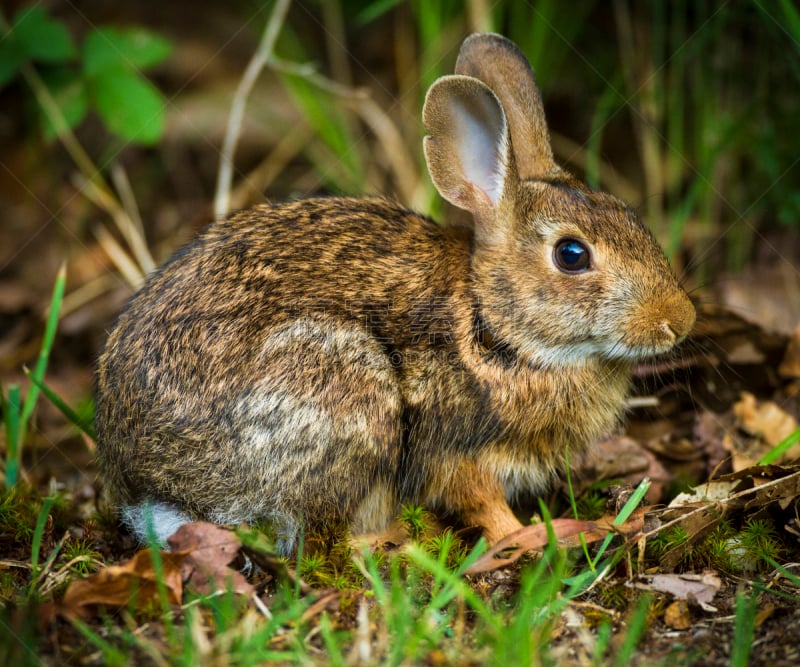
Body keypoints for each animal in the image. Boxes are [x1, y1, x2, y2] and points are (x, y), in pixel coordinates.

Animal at [92, 32, 692, 552]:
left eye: (629, 215)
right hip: (343, 392)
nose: (678, 321)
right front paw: (534, 537)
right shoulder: (456, 450)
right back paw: (397, 540)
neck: (495, 324)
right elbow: (483, 503)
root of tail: (156, 491)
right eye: (572, 255)